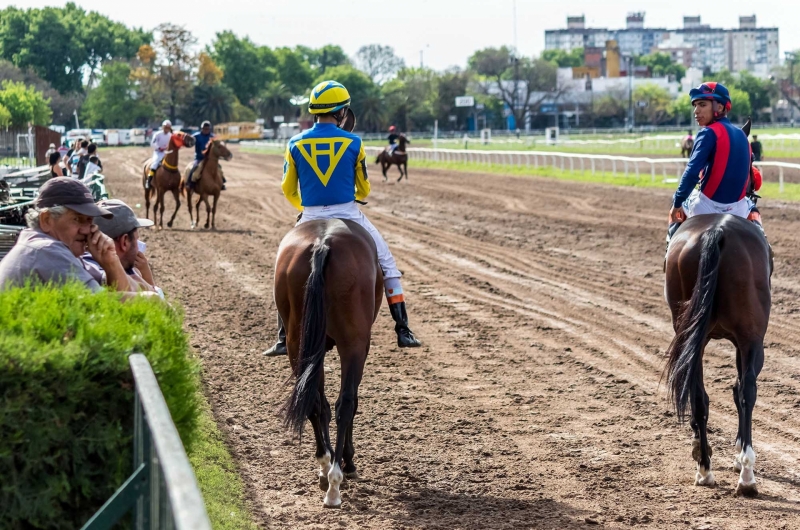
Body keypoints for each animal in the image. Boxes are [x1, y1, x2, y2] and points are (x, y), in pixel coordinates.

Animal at [278, 218, 384, 504]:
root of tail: (322, 243)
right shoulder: (361, 346)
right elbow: (352, 401)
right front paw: (348, 462)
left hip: (298, 344)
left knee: (315, 402)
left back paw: (326, 467)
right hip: (353, 343)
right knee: (344, 404)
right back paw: (336, 479)